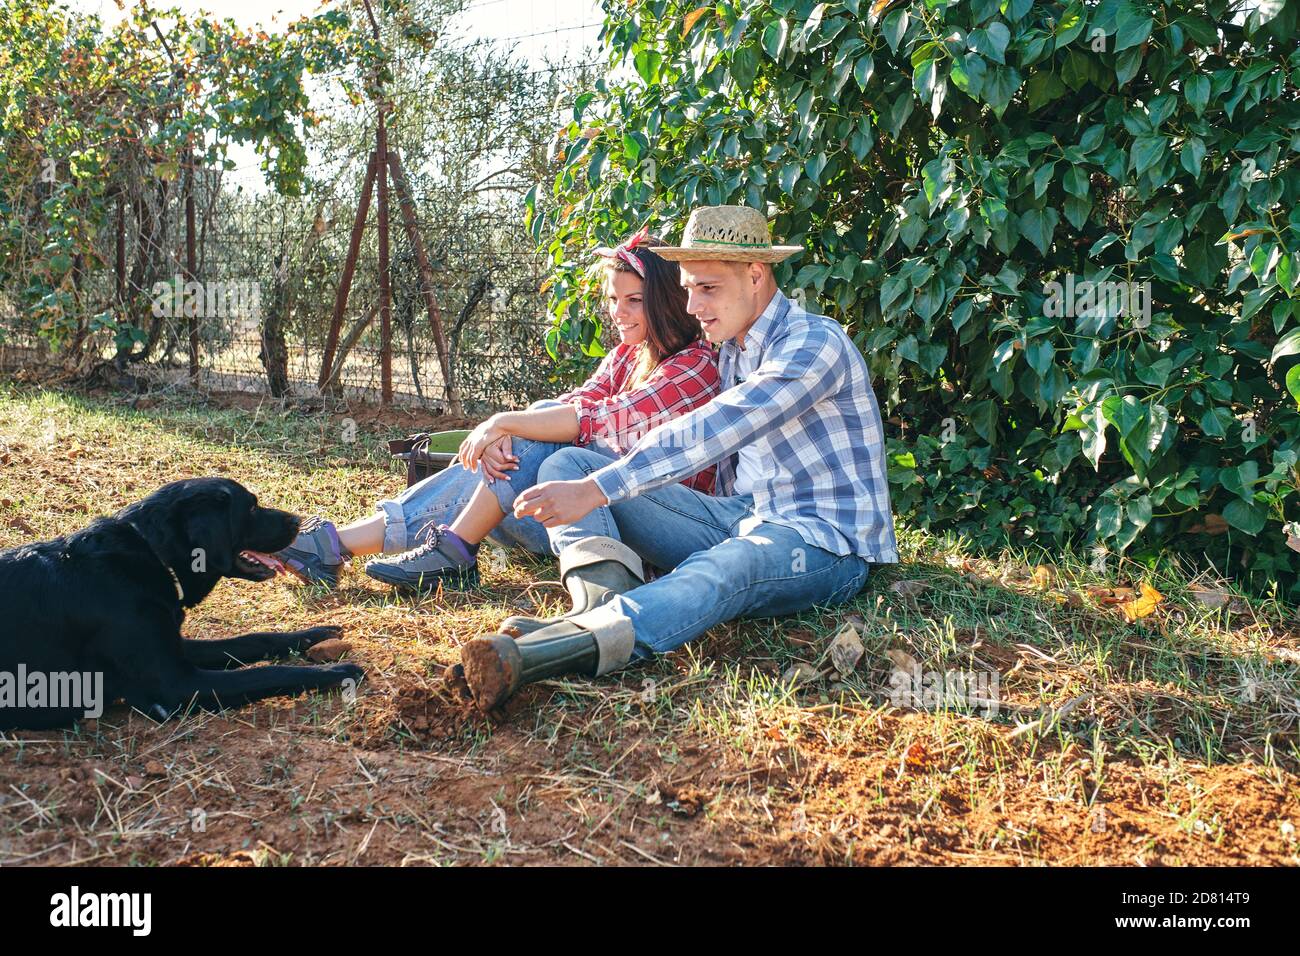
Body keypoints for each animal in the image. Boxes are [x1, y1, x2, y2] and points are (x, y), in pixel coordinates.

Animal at [0, 481, 361, 728]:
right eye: (251, 508)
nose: (298, 521)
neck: (151, 554)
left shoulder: (177, 645)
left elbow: (253, 639)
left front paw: (314, 635)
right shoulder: (176, 684)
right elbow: (269, 672)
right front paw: (334, 671)